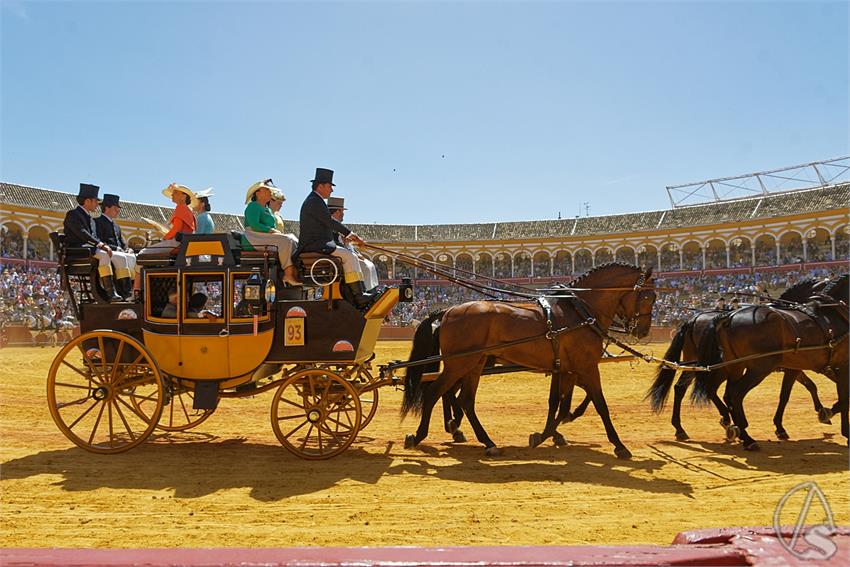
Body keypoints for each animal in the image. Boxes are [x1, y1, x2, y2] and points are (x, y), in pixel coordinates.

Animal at [400, 266, 652, 462]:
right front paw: (619, 445)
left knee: (464, 400)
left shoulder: (565, 368)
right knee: (435, 393)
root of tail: (448, 310)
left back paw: (485, 441)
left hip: (475, 364)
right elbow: (599, 404)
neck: (579, 313)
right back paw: (421, 435)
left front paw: (546, 434)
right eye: (649, 297)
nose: (643, 331)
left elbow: (558, 403)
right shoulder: (586, 367)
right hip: (459, 363)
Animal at [644, 278, 840, 442]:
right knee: (706, 389)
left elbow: (810, 385)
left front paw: (823, 411)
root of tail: (693, 320)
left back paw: (690, 427)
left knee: (687, 388)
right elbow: (807, 387)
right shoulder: (797, 365)